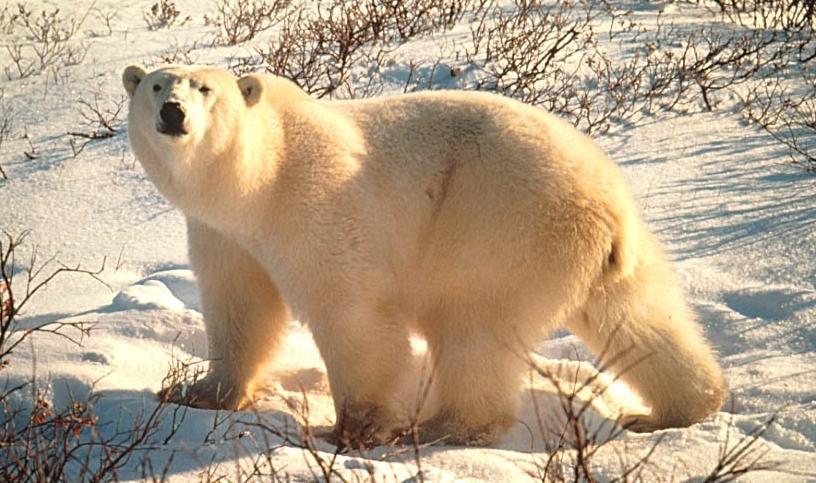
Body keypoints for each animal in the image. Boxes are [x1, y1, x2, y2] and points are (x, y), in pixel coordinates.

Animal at [122, 64, 726, 447]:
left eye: (205, 88)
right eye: (155, 84)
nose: (172, 112)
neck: (258, 179)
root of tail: (608, 209)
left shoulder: (314, 201)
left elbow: (352, 313)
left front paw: (354, 429)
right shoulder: (222, 231)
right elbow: (239, 306)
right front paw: (197, 393)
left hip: (500, 226)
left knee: (471, 325)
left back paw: (445, 427)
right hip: (612, 253)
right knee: (638, 318)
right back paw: (677, 409)